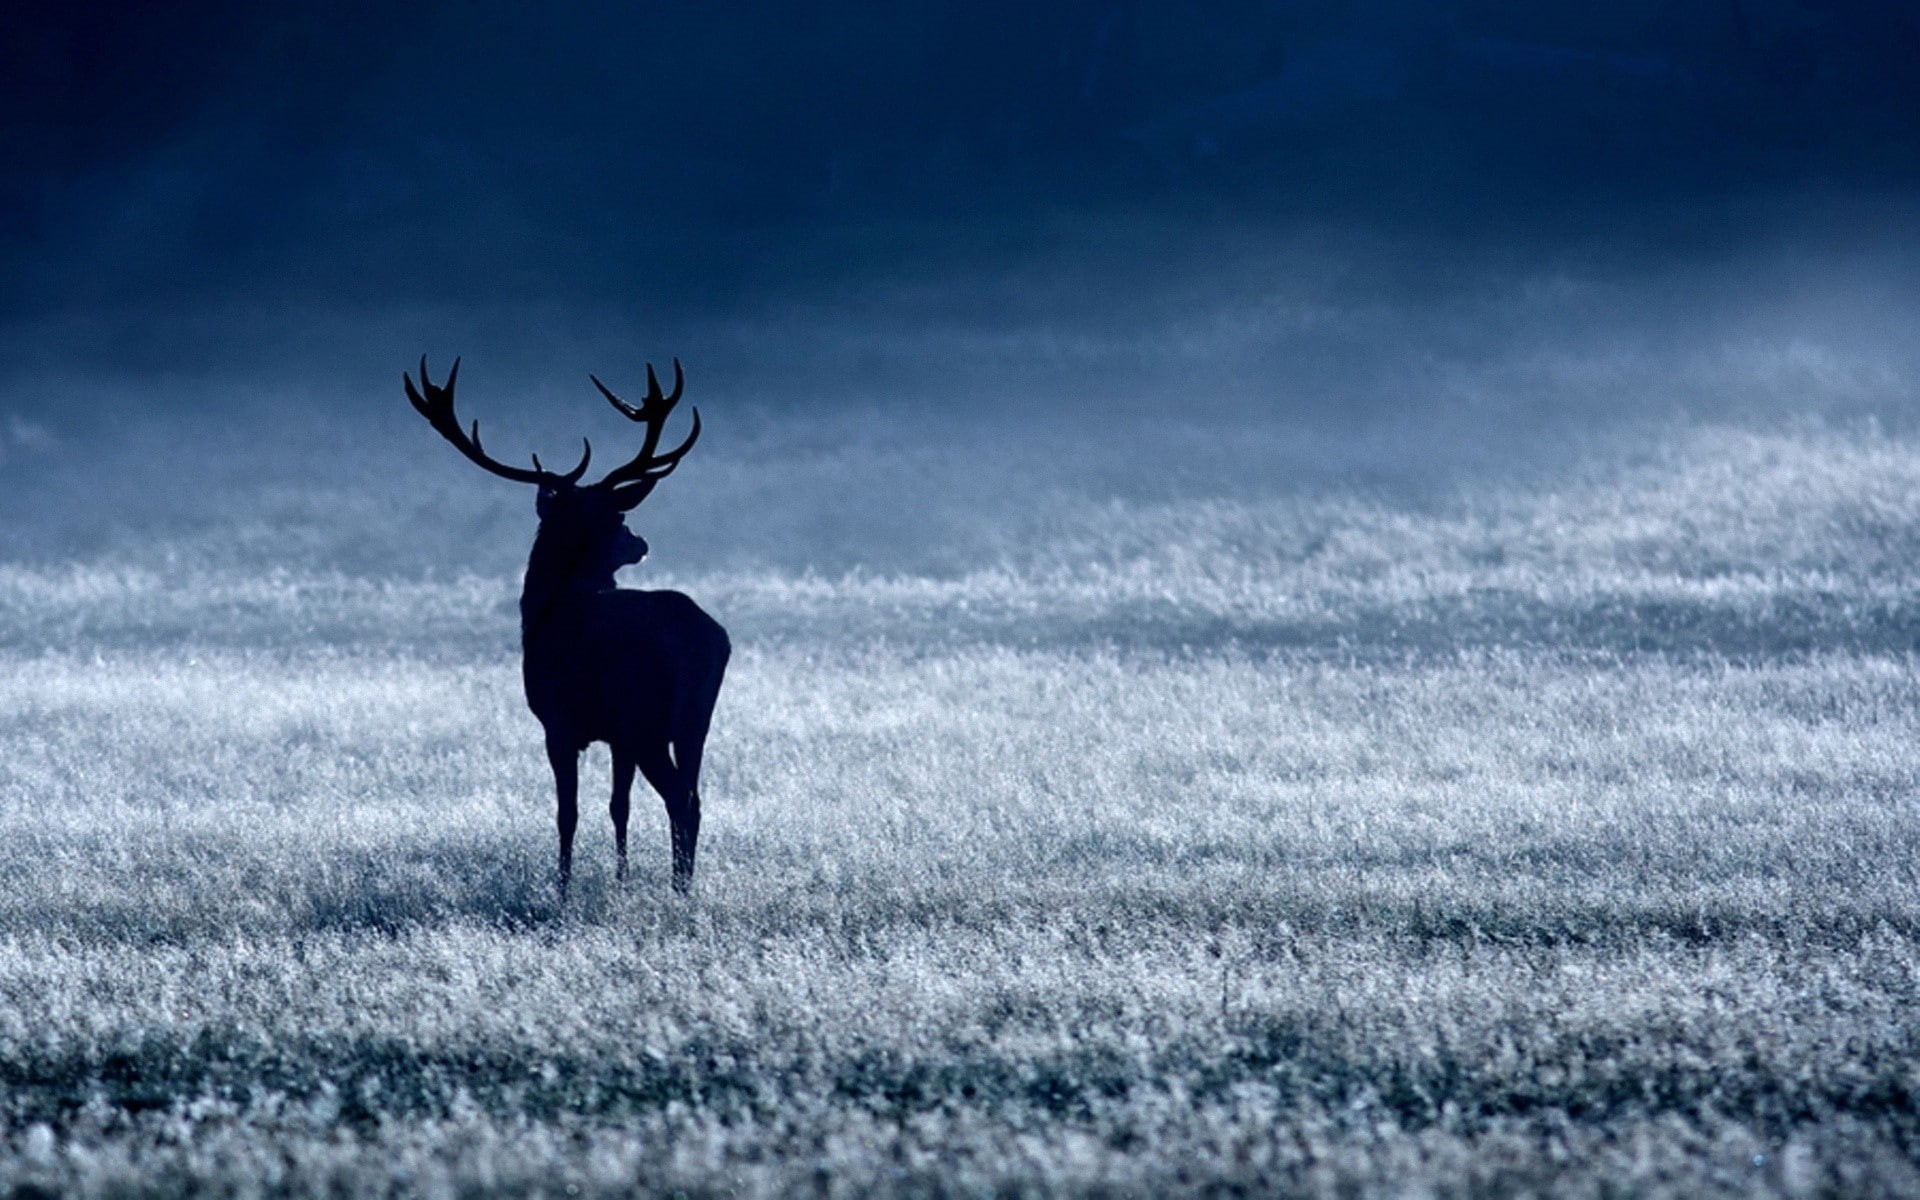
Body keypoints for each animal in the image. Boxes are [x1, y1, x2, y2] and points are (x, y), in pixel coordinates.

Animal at [404, 356, 729, 896]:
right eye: (617, 518)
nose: (640, 542)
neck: (545, 609)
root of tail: (704, 638)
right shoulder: (615, 736)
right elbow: (619, 807)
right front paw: (620, 877)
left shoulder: (558, 723)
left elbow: (567, 813)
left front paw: (562, 887)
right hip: (694, 720)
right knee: (695, 797)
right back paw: (683, 882)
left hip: (646, 717)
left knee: (679, 798)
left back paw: (678, 887)